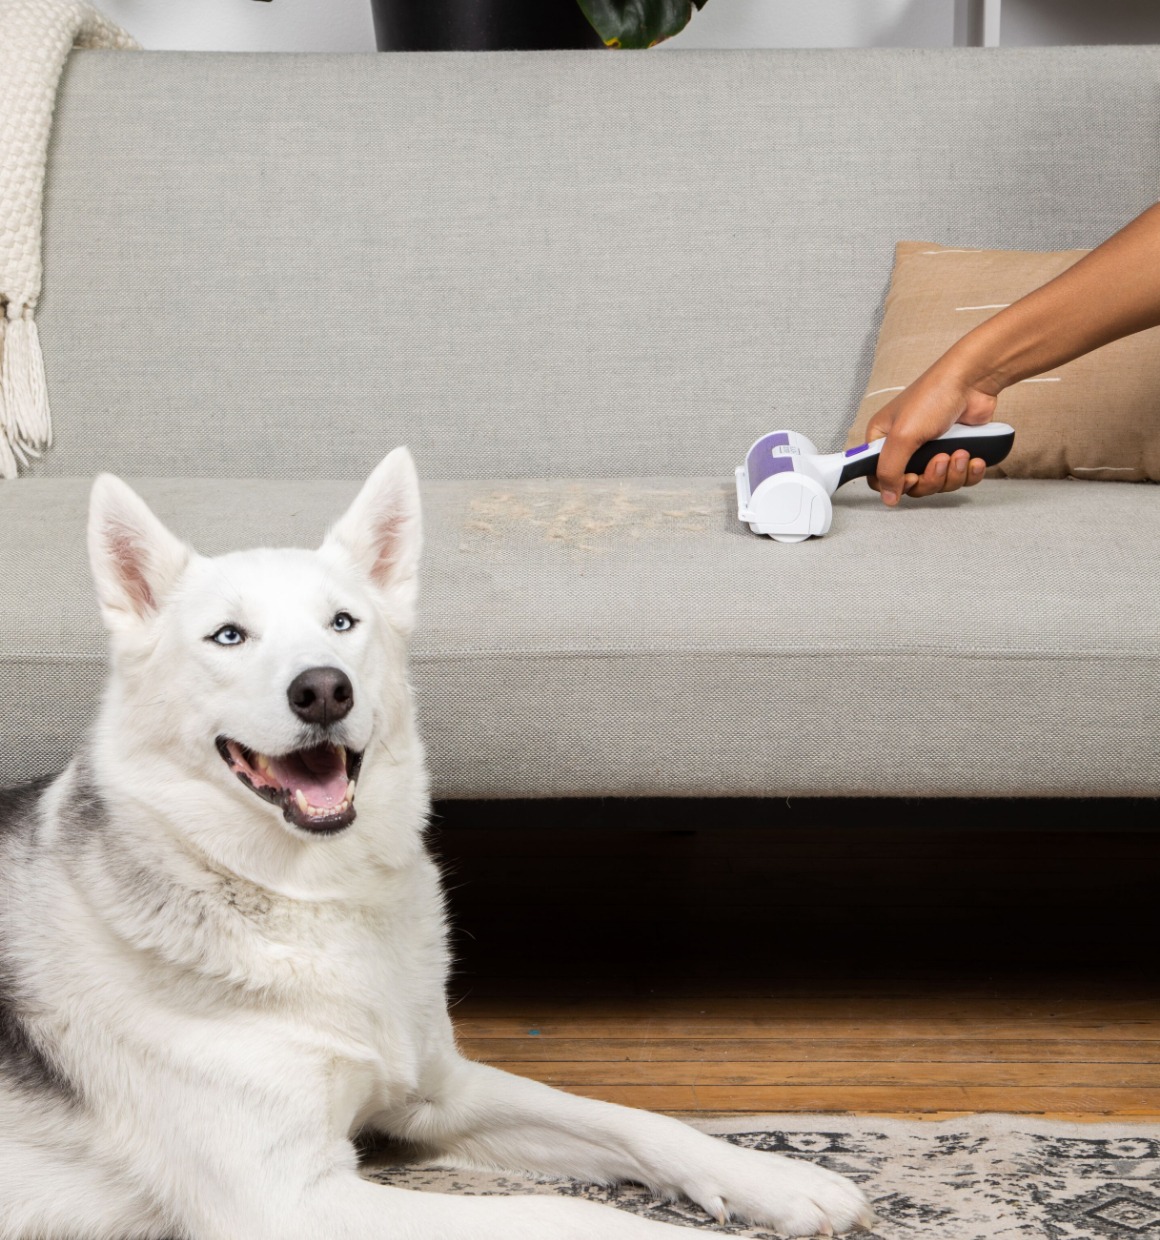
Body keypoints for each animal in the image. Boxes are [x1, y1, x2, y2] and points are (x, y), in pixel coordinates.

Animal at [0, 451, 873, 1235]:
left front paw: (774, 1177)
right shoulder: (294, 1202)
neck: (314, 897)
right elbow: (560, 1214)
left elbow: (630, 1118)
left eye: (343, 623)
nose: (324, 689)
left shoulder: (440, 1095)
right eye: (228, 637)